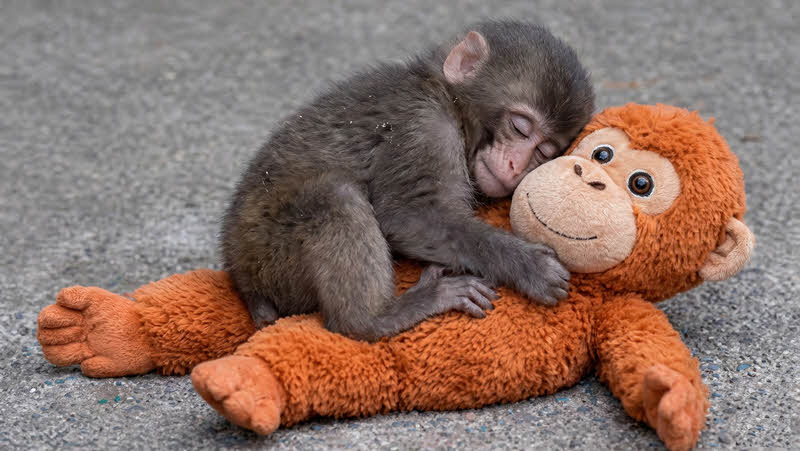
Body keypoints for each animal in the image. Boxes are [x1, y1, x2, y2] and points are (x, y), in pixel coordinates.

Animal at [220, 20, 595, 341]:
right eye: (519, 127)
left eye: (544, 151)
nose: (516, 166)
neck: (446, 97)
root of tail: (241, 274)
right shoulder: (424, 129)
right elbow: (407, 215)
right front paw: (528, 265)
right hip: (270, 253)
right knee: (333, 195)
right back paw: (377, 318)